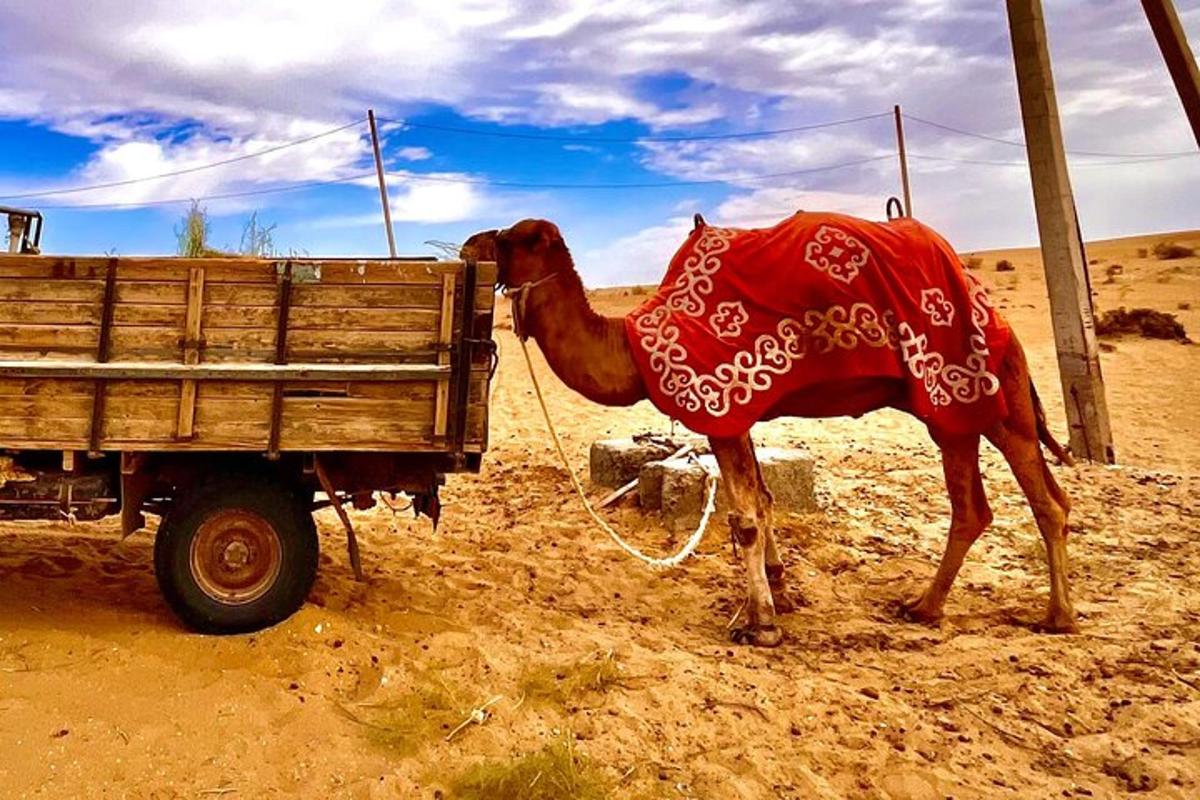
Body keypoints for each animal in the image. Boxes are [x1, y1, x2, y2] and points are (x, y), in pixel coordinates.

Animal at [463, 218, 1078, 647]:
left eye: (514, 236)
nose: (469, 243)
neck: (636, 347)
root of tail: (998, 317)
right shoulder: (743, 413)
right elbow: (763, 497)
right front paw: (779, 587)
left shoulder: (722, 409)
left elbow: (745, 517)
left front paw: (759, 623)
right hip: (955, 415)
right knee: (979, 506)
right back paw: (926, 608)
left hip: (987, 398)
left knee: (1042, 500)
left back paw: (1056, 616)